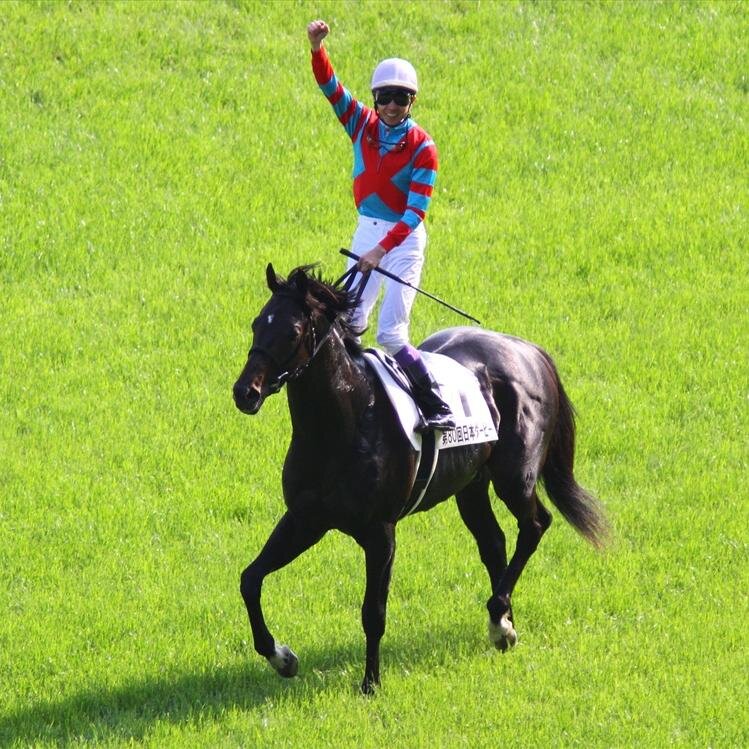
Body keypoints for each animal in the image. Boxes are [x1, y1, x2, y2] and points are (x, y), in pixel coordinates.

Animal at [234, 264, 608, 696]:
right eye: (257, 323)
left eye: (292, 332)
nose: (245, 392)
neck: (343, 423)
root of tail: (528, 349)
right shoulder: (305, 519)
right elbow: (250, 579)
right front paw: (282, 657)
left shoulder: (380, 532)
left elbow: (373, 611)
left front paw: (371, 683)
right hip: (470, 485)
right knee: (493, 542)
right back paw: (503, 624)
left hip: (515, 477)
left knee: (534, 524)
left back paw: (499, 614)